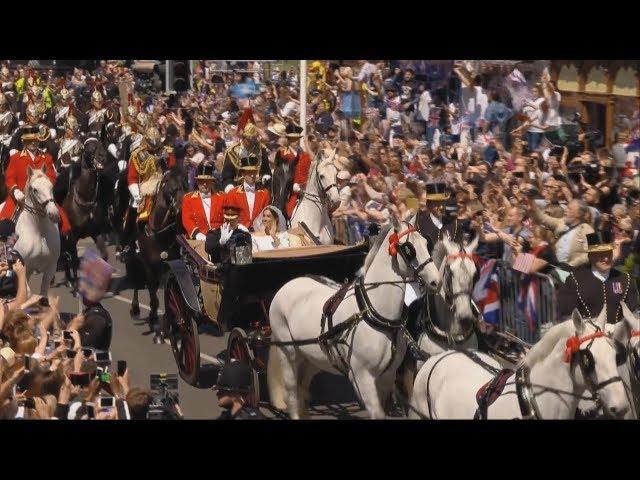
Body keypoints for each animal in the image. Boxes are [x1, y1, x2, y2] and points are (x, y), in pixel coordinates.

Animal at [13, 166, 61, 296]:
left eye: (51, 186)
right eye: (35, 190)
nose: (54, 214)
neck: (39, 232)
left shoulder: (51, 268)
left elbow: (43, 292)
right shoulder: (23, 268)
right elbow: (27, 293)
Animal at [268, 216, 442, 418]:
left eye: (426, 243)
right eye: (408, 248)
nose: (436, 282)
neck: (376, 314)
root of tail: (287, 285)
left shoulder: (387, 376)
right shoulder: (362, 377)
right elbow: (377, 413)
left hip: (311, 357)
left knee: (302, 389)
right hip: (288, 354)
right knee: (292, 394)